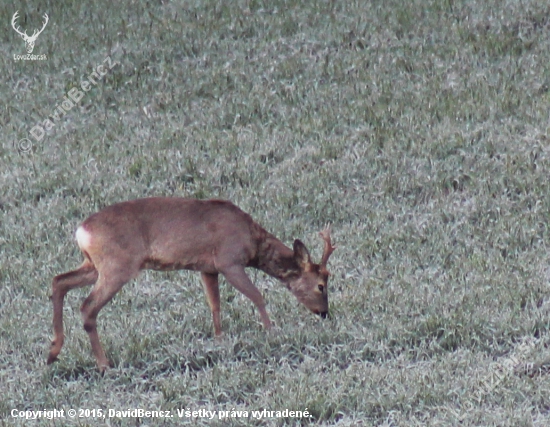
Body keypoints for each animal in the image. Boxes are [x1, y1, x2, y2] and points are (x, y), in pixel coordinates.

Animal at [47, 198, 338, 372]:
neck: (252, 243)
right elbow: (257, 296)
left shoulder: (207, 268)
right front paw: (271, 332)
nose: (324, 313)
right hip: (117, 266)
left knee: (59, 281)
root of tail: (82, 231)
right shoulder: (229, 261)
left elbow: (214, 305)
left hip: (93, 265)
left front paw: (219, 340)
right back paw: (103, 364)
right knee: (87, 306)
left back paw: (53, 352)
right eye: (321, 285)